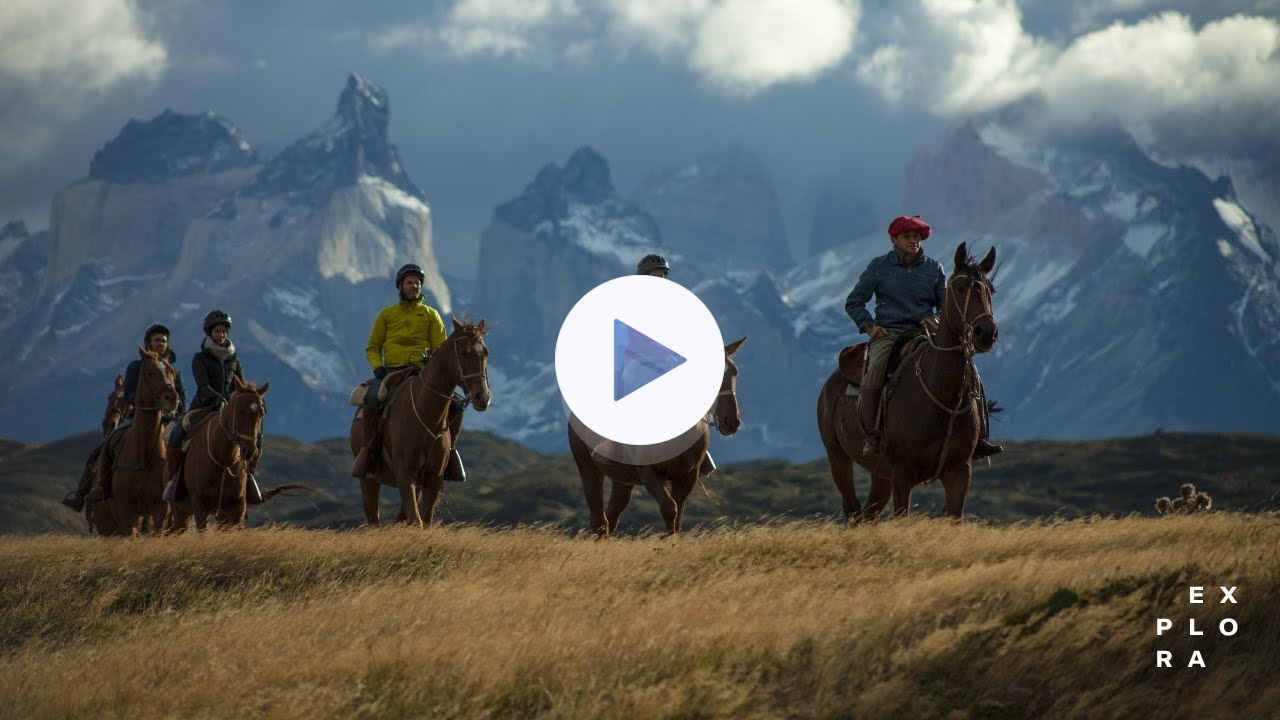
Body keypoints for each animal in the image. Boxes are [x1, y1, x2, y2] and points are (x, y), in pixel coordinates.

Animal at [103, 345, 177, 535]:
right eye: (150, 372)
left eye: (171, 371)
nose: (172, 398)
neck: (145, 455)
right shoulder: (126, 512)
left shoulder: (161, 510)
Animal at [348, 316, 491, 525]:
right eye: (464, 352)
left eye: (486, 353)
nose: (483, 397)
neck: (426, 417)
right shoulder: (404, 474)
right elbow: (417, 521)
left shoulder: (433, 479)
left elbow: (424, 520)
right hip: (369, 480)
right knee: (373, 517)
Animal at [570, 335, 747, 532]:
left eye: (734, 373)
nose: (731, 422)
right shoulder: (650, 472)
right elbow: (670, 509)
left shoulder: (688, 475)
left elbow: (678, 515)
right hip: (588, 467)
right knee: (599, 518)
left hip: (623, 480)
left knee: (612, 515)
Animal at [819, 243, 998, 517]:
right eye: (959, 288)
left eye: (991, 289)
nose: (985, 333)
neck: (942, 397)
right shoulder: (902, 476)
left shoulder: (959, 473)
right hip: (838, 457)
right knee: (853, 509)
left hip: (880, 474)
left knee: (869, 514)